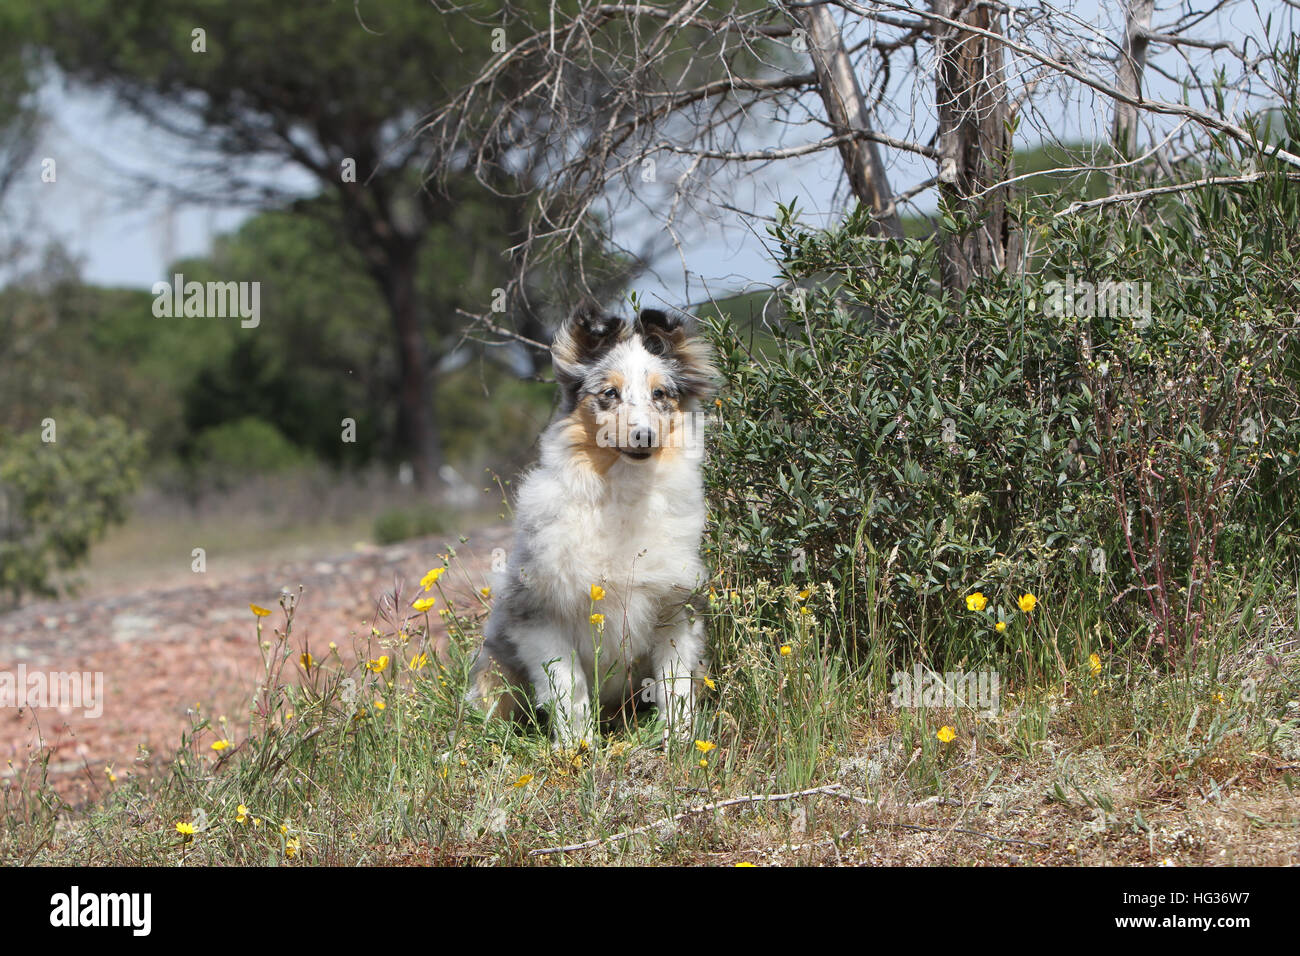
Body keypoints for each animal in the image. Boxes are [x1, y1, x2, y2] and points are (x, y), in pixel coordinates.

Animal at [470, 304, 722, 749]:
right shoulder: (541, 616)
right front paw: (578, 747)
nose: (644, 437)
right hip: (494, 671)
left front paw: (679, 742)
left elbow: (674, 686)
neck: (623, 490)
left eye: (660, 394)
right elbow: (567, 688)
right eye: (609, 393)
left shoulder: (676, 609)